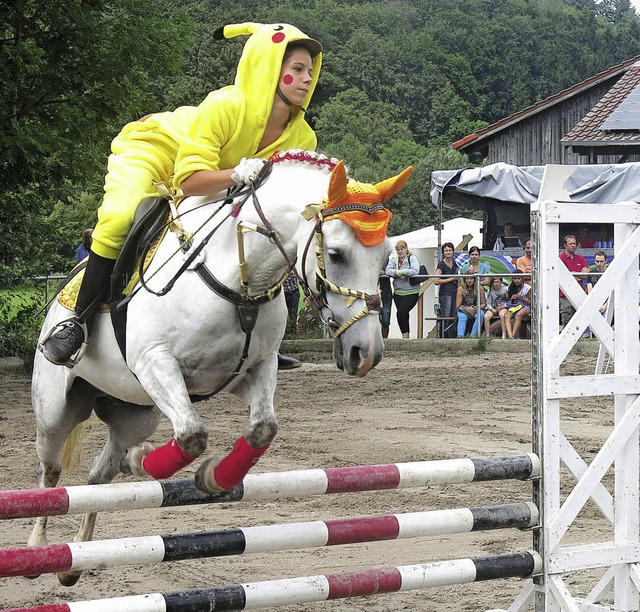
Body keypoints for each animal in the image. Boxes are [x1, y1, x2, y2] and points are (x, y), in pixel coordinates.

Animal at [28, 151, 410, 584]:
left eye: (385, 257)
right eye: (336, 254)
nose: (366, 353)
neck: (240, 282)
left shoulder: (253, 369)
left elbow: (262, 428)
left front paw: (212, 477)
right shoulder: (156, 363)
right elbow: (193, 434)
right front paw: (144, 461)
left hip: (133, 413)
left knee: (99, 476)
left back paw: (77, 558)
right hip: (56, 410)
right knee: (52, 472)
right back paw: (39, 549)